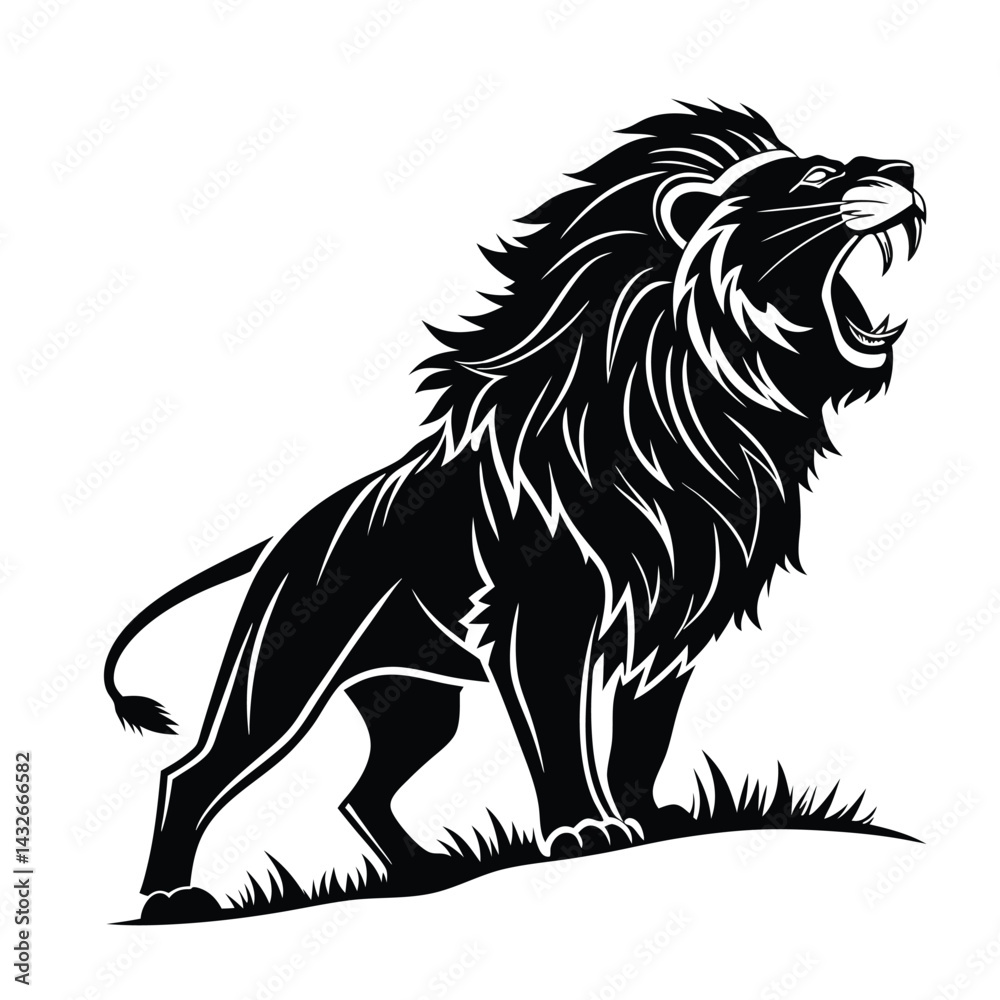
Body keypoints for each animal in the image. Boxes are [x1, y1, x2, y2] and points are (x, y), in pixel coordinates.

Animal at [105, 102, 926, 898]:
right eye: (816, 176)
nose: (907, 169)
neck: (704, 408)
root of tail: (287, 536)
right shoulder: (544, 620)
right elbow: (560, 734)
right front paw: (585, 830)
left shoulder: (670, 628)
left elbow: (644, 737)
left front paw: (650, 818)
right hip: (278, 683)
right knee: (192, 775)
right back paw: (168, 900)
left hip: (415, 704)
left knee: (361, 795)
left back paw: (422, 870)